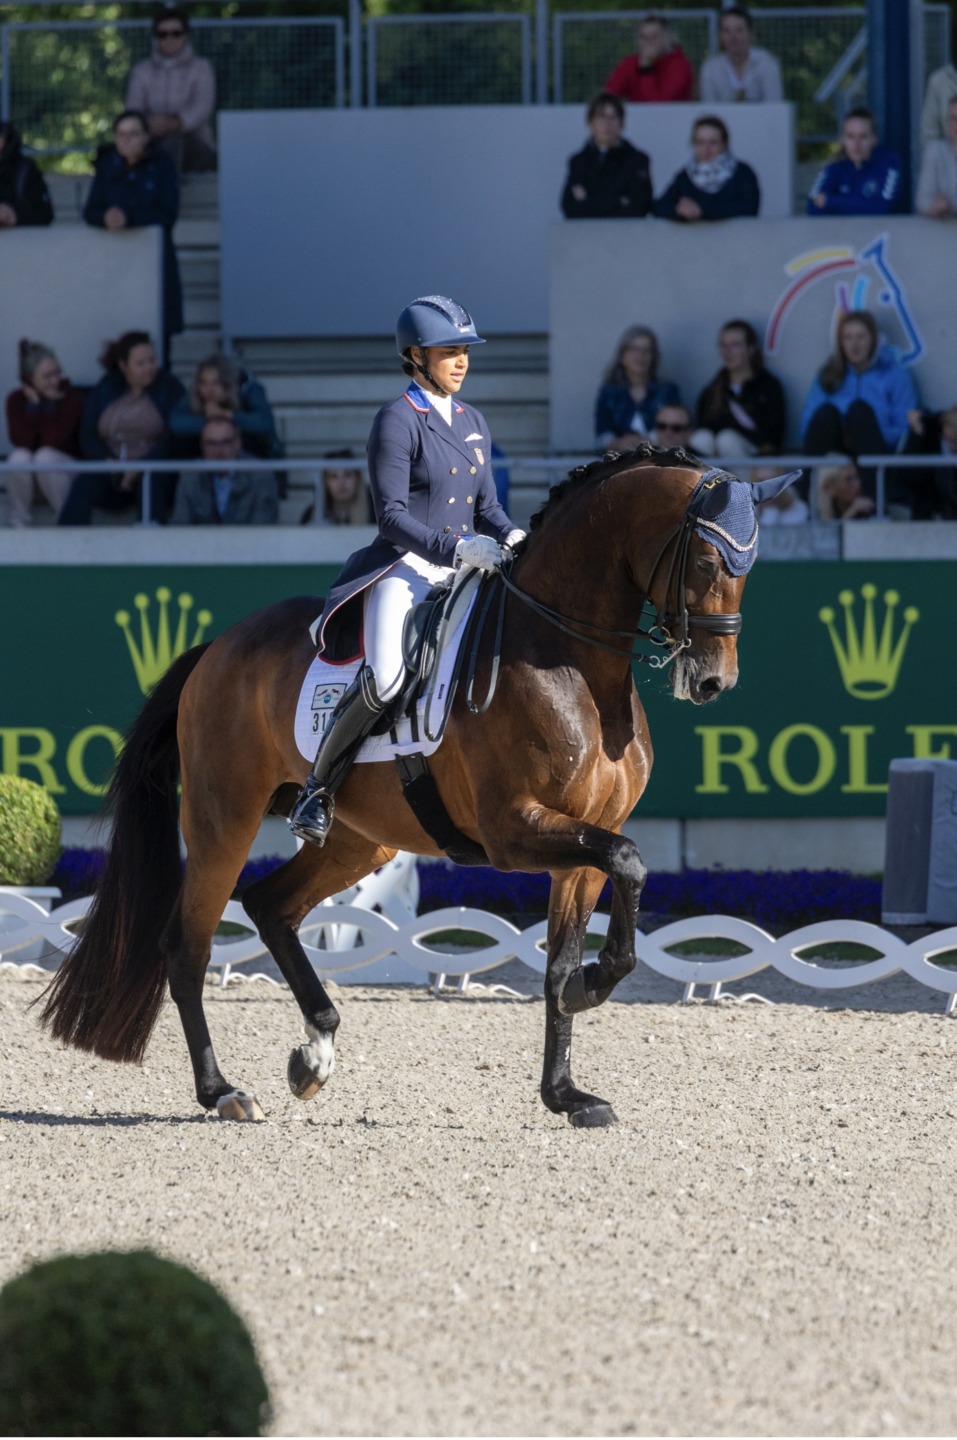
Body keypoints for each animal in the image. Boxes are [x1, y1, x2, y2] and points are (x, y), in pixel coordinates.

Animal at [39, 446, 782, 1123]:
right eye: (709, 562)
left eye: (749, 569)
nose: (713, 682)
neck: (570, 660)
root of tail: (215, 649)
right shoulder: (515, 829)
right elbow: (629, 863)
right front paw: (593, 988)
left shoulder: (583, 845)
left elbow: (562, 957)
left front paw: (566, 1093)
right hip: (226, 820)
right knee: (187, 947)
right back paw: (222, 1091)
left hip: (359, 840)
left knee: (271, 906)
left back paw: (314, 1054)